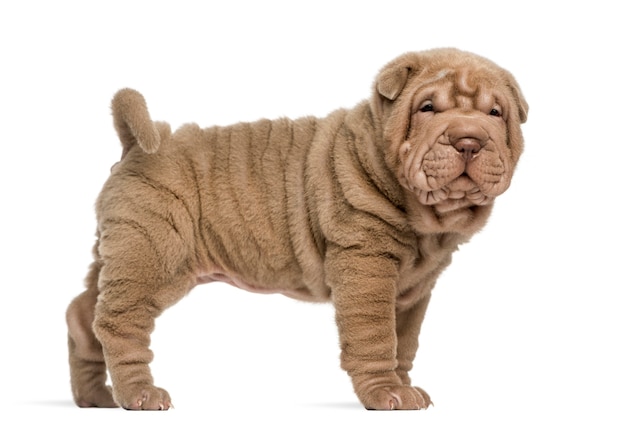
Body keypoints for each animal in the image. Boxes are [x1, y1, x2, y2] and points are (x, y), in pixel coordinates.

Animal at [67, 48, 528, 410]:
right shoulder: (366, 267)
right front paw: (386, 394)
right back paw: (140, 395)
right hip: (151, 253)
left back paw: (96, 398)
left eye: (495, 113)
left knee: (83, 315)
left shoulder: (414, 289)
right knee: (117, 323)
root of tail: (138, 145)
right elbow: (376, 336)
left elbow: (404, 341)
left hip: (120, 251)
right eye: (427, 108)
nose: (469, 140)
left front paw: (404, 386)